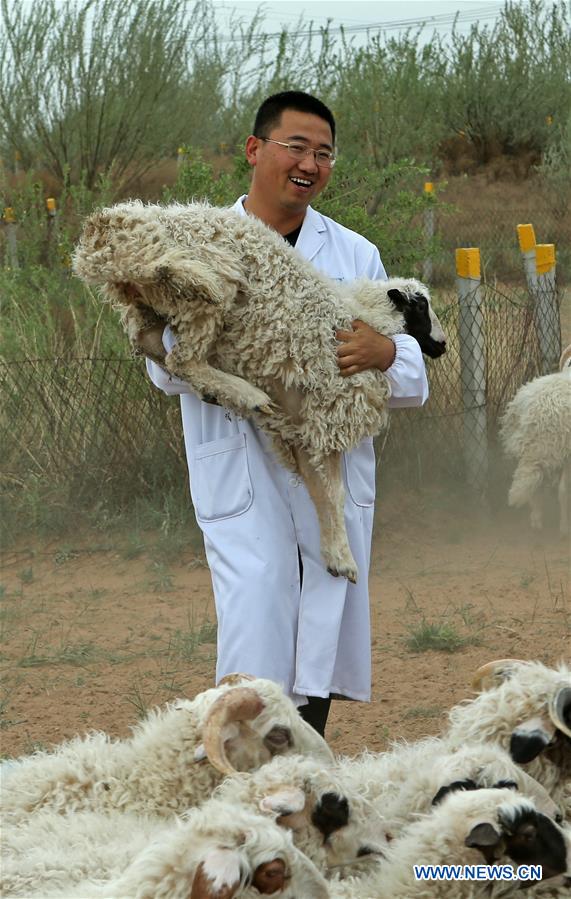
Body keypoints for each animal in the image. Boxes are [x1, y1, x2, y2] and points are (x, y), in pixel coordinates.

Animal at [72, 200, 446, 583]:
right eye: (420, 306)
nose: (443, 345)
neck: (360, 317)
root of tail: (108, 228)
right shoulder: (326, 414)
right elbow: (335, 494)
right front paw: (343, 559)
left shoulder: (302, 428)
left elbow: (319, 492)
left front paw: (331, 554)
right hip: (205, 286)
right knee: (182, 358)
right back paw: (245, 388)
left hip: (147, 302)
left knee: (148, 343)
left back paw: (220, 390)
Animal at [500, 344, 571, 535]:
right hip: (558, 450)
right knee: (563, 491)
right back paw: (564, 527)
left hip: (527, 451)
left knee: (535, 486)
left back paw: (536, 519)